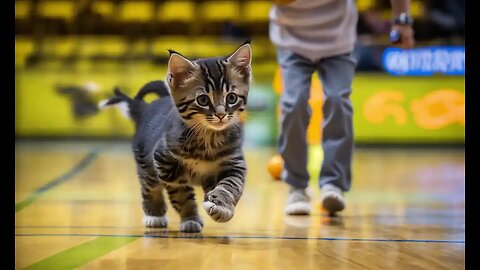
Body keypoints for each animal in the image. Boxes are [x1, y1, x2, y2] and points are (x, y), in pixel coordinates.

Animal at [100, 41, 253, 233]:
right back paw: (154, 215)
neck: (208, 138)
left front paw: (222, 206)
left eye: (231, 98)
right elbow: (182, 197)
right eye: (203, 100)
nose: (220, 115)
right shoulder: (166, 165)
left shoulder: (233, 163)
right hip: (147, 166)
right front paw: (190, 218)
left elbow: (231, 186)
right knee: (150, 188)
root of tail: (144, 108)